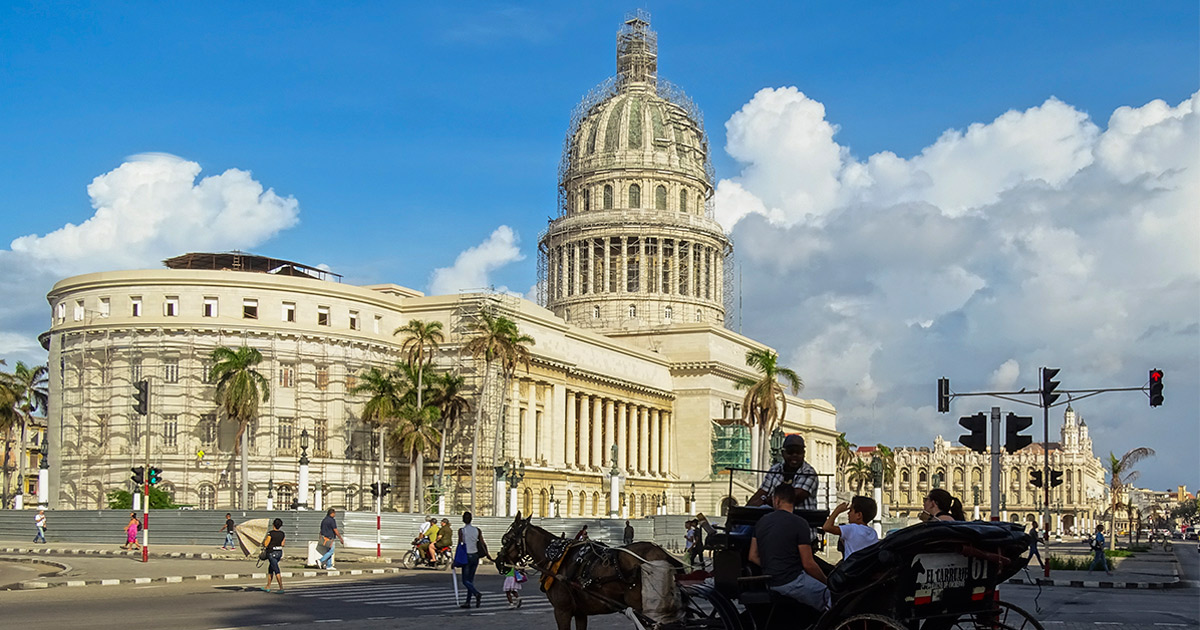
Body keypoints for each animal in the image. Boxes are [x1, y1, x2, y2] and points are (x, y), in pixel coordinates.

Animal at [496, 513, 686, 628]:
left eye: (505, 539)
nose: (498, 562)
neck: (556, 556)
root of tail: (663, 554)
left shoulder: (562, 611)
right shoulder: (581, 612)